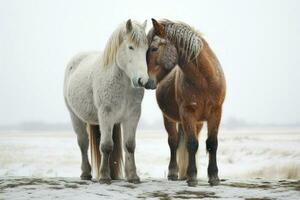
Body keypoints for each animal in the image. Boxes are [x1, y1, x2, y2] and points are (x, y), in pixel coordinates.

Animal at [64, 19, 151, 184]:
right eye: (130, 47)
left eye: (147, 49)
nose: (143, 81)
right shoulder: (106, 114)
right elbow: (106, 146)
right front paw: (104, 176)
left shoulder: (133, 115)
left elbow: (129, 145)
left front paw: (133, 176)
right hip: (75, 117)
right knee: (83, 144)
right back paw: (86, 173)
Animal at [146, 18, 226, 186]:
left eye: (154, 48)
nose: (145, 82)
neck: (204, 80)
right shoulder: (187, 112)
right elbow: (191, 144)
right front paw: (192, 177)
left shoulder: (216, 112)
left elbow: (212, 143)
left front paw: (214, 177)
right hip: (169, 119)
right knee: (173, 142)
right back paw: (174, 173)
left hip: (198, 122)